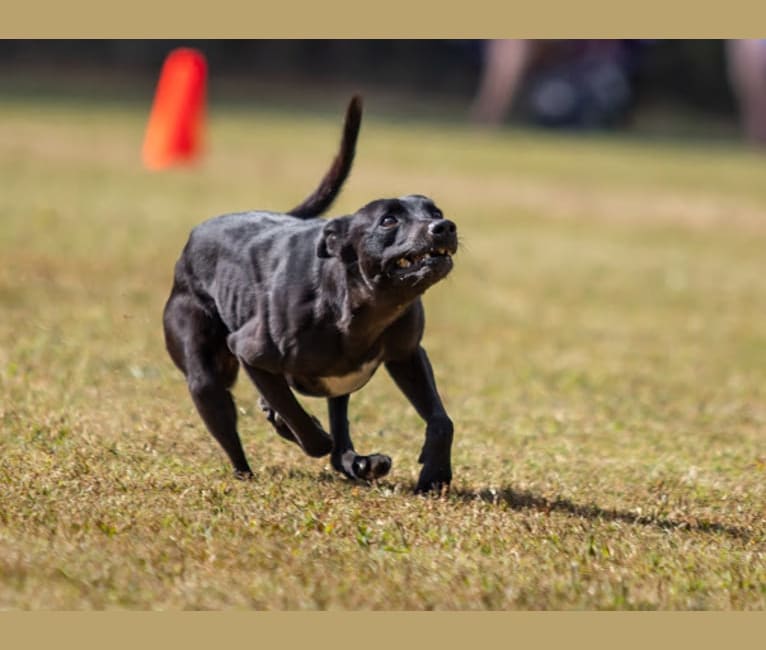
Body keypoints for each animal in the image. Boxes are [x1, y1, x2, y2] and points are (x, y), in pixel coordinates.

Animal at [164, 96, 460, 492]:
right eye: (388, 220)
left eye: (435, 211)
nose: (444, 226)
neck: (360, 308)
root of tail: (194, 237)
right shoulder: (249, 351)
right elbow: (304, 425)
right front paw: (303, 429)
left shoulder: (408, 355)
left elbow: (441, 420)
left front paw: (434, 475)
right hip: (206, 379)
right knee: (235, 431)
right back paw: (249, 470)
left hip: (338, 388)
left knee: (340, 439)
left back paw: (360, 463)